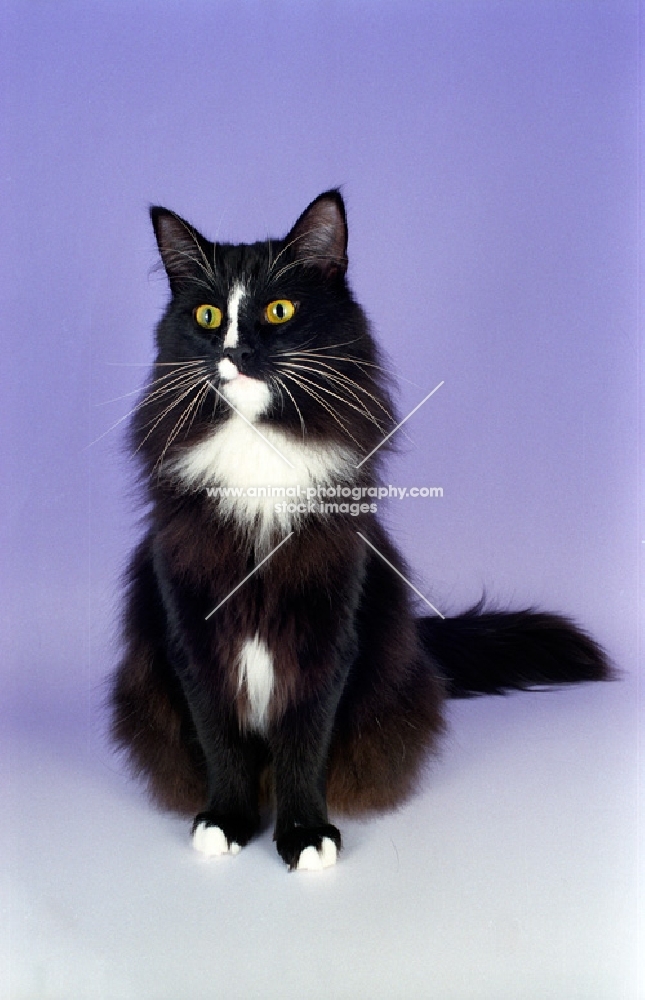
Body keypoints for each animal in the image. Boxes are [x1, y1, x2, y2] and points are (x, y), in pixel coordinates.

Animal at [110, 191, 608, 872]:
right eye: (209, 316)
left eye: (279, 309)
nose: (235, 353)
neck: (259, 453)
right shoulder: (192, 621)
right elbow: (221, 737)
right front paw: (227, 821)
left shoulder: (330, 623)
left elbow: (304, 742)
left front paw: (304, 834)